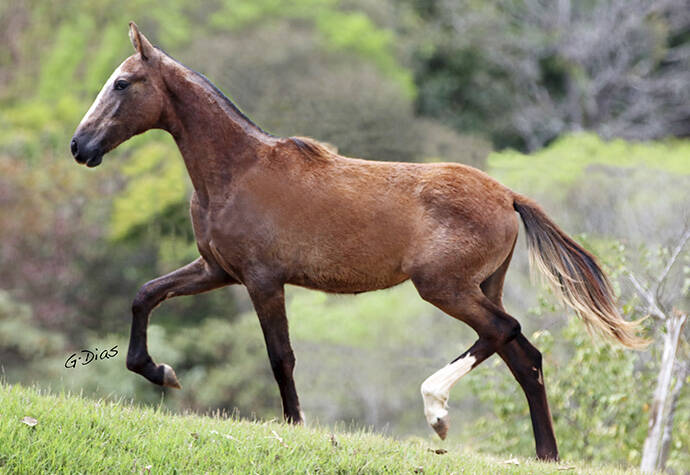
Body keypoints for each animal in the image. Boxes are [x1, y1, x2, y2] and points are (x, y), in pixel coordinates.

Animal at [71, 23, 644, 462]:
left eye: (122, 83)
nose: (79, 146)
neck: (237, 172)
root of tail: (508, 195)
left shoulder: (262, 280)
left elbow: (280, 356)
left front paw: (295, 425)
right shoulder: (217, 270)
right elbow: (145, 294)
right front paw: (159, 372)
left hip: (444, 287)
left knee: (506, 332)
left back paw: (437, 410)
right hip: (482, 286)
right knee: (524, 355)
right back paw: (545, 453)